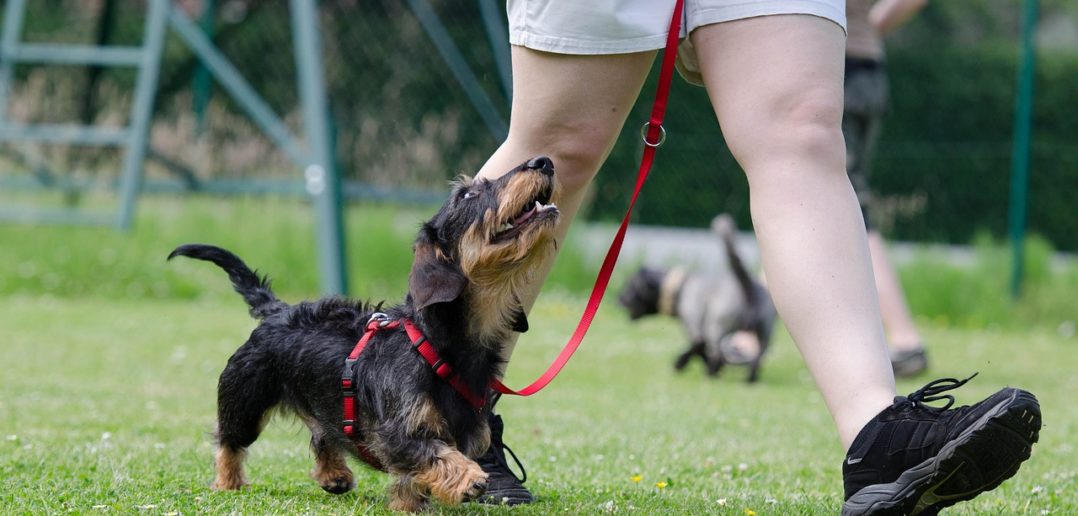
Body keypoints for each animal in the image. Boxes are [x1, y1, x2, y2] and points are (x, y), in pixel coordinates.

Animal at [170, 157, 556, 512]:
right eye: (467, 194)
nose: (543, 162)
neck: (436, 343)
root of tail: (278, 310)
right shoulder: (396, 433)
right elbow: (434, 454)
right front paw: (469, 477)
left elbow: (413, 477)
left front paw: (409, 504)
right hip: (244, 400)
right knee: (229, 441)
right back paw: (228, 482)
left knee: (322, 435)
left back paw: (334, 475)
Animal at [616, 215, 776, 383]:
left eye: (629, 287)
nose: (617, 299)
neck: (680, 287)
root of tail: (747, 284)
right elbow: (700, 350)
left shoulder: (694, 326)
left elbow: (698, 348)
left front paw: (680, 364)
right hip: (764, 332)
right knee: (757, 357)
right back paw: (750, 379)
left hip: (717, 326)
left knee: (717, 352)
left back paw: (711, 373)